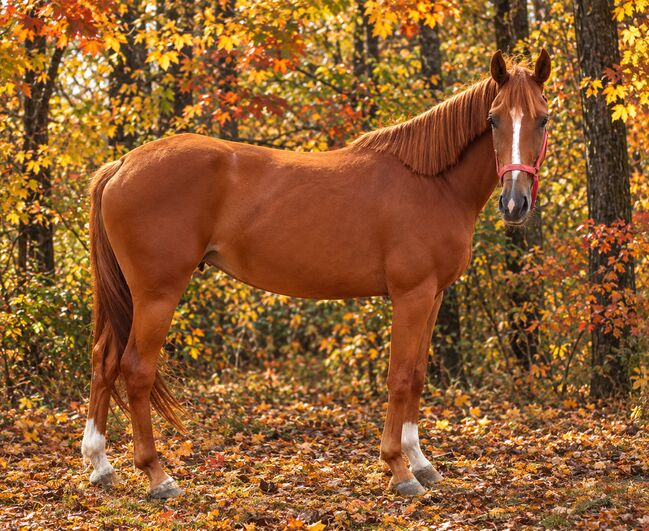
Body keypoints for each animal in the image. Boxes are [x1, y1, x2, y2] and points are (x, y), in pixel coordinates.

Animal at [81, 50, 551, 498]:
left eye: (543, 119)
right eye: (493, 119)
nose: (515, 204)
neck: (432, 182)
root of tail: (122, 164)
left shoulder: (433, 296)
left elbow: (417, 375)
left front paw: (422, 464)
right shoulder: (411, 295)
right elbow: (399, 377)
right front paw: (399, 470)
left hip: (132, 296)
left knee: (104, 362)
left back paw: (100, 466)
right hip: (157, 295)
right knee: (136, 370)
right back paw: (158, 477)